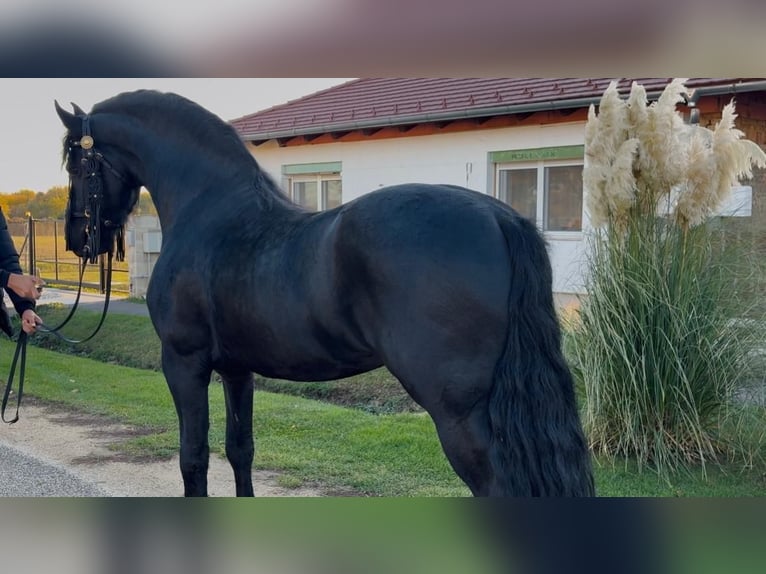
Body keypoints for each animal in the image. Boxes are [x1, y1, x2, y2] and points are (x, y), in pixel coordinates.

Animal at [55, 90, 595, 497]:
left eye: (76, 164)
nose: (77, 239)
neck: (210, 212)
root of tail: (500, 217)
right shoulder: (237, 369)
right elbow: (240, 449)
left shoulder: (184, 364)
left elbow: (193, 457)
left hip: (459, 411)